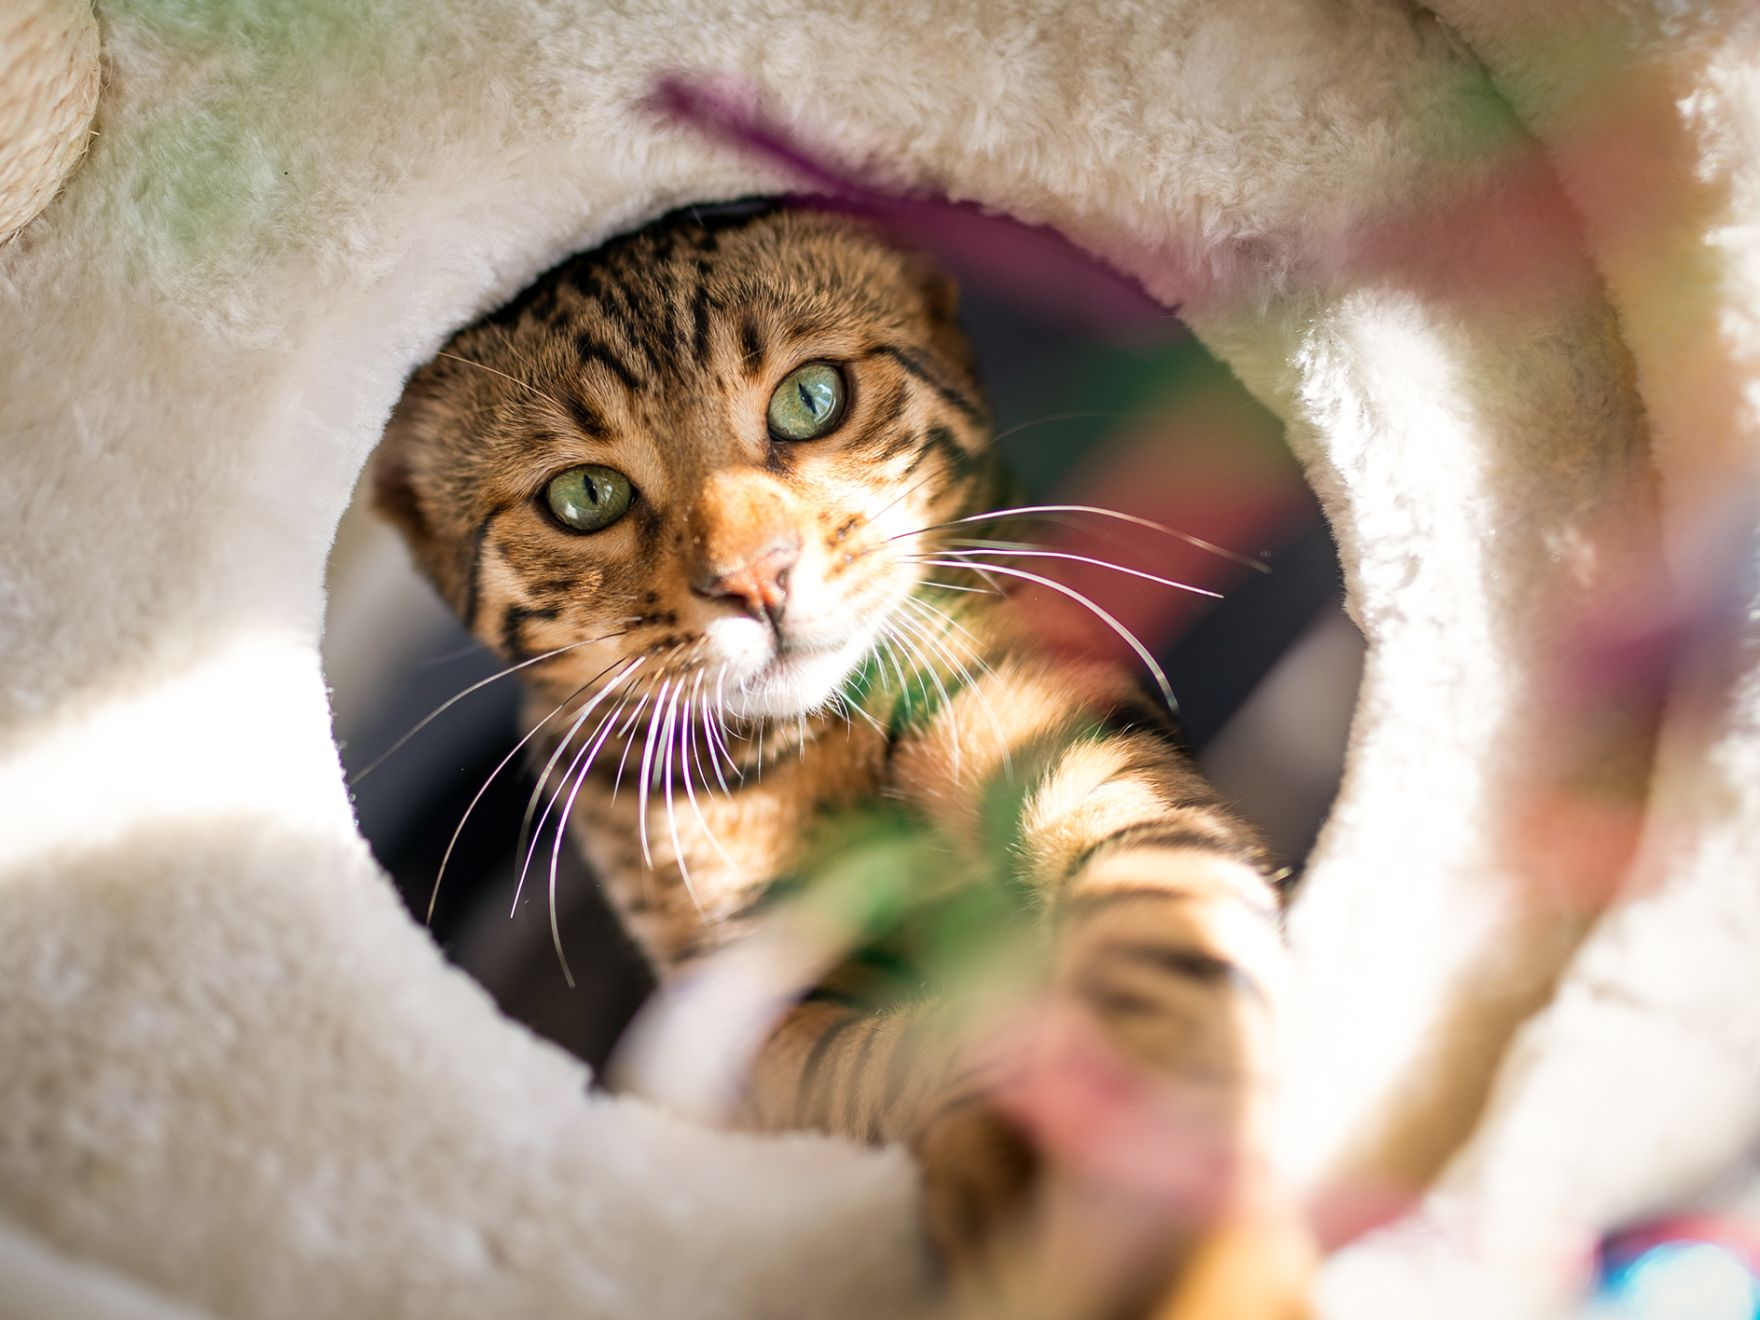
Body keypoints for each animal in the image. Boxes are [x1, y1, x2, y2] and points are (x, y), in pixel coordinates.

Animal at [378, 198, 1302, 1316]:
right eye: (585, 496)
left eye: (812, 398)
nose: (755, 579)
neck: (816, 746)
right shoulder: (737, 1013)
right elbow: (883, 1052)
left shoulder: (1077, 759)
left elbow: (1163, 940)